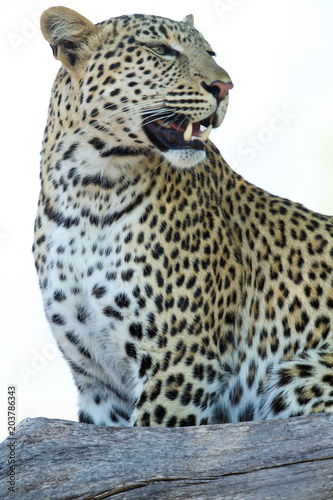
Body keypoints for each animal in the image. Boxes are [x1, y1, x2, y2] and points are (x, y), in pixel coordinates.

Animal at [33, 5, 332, 428]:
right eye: (161, 49)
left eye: (210, 52)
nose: (224, 87)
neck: (88, 193)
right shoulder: (98, 385)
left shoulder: (180, 363)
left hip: (298, 376)